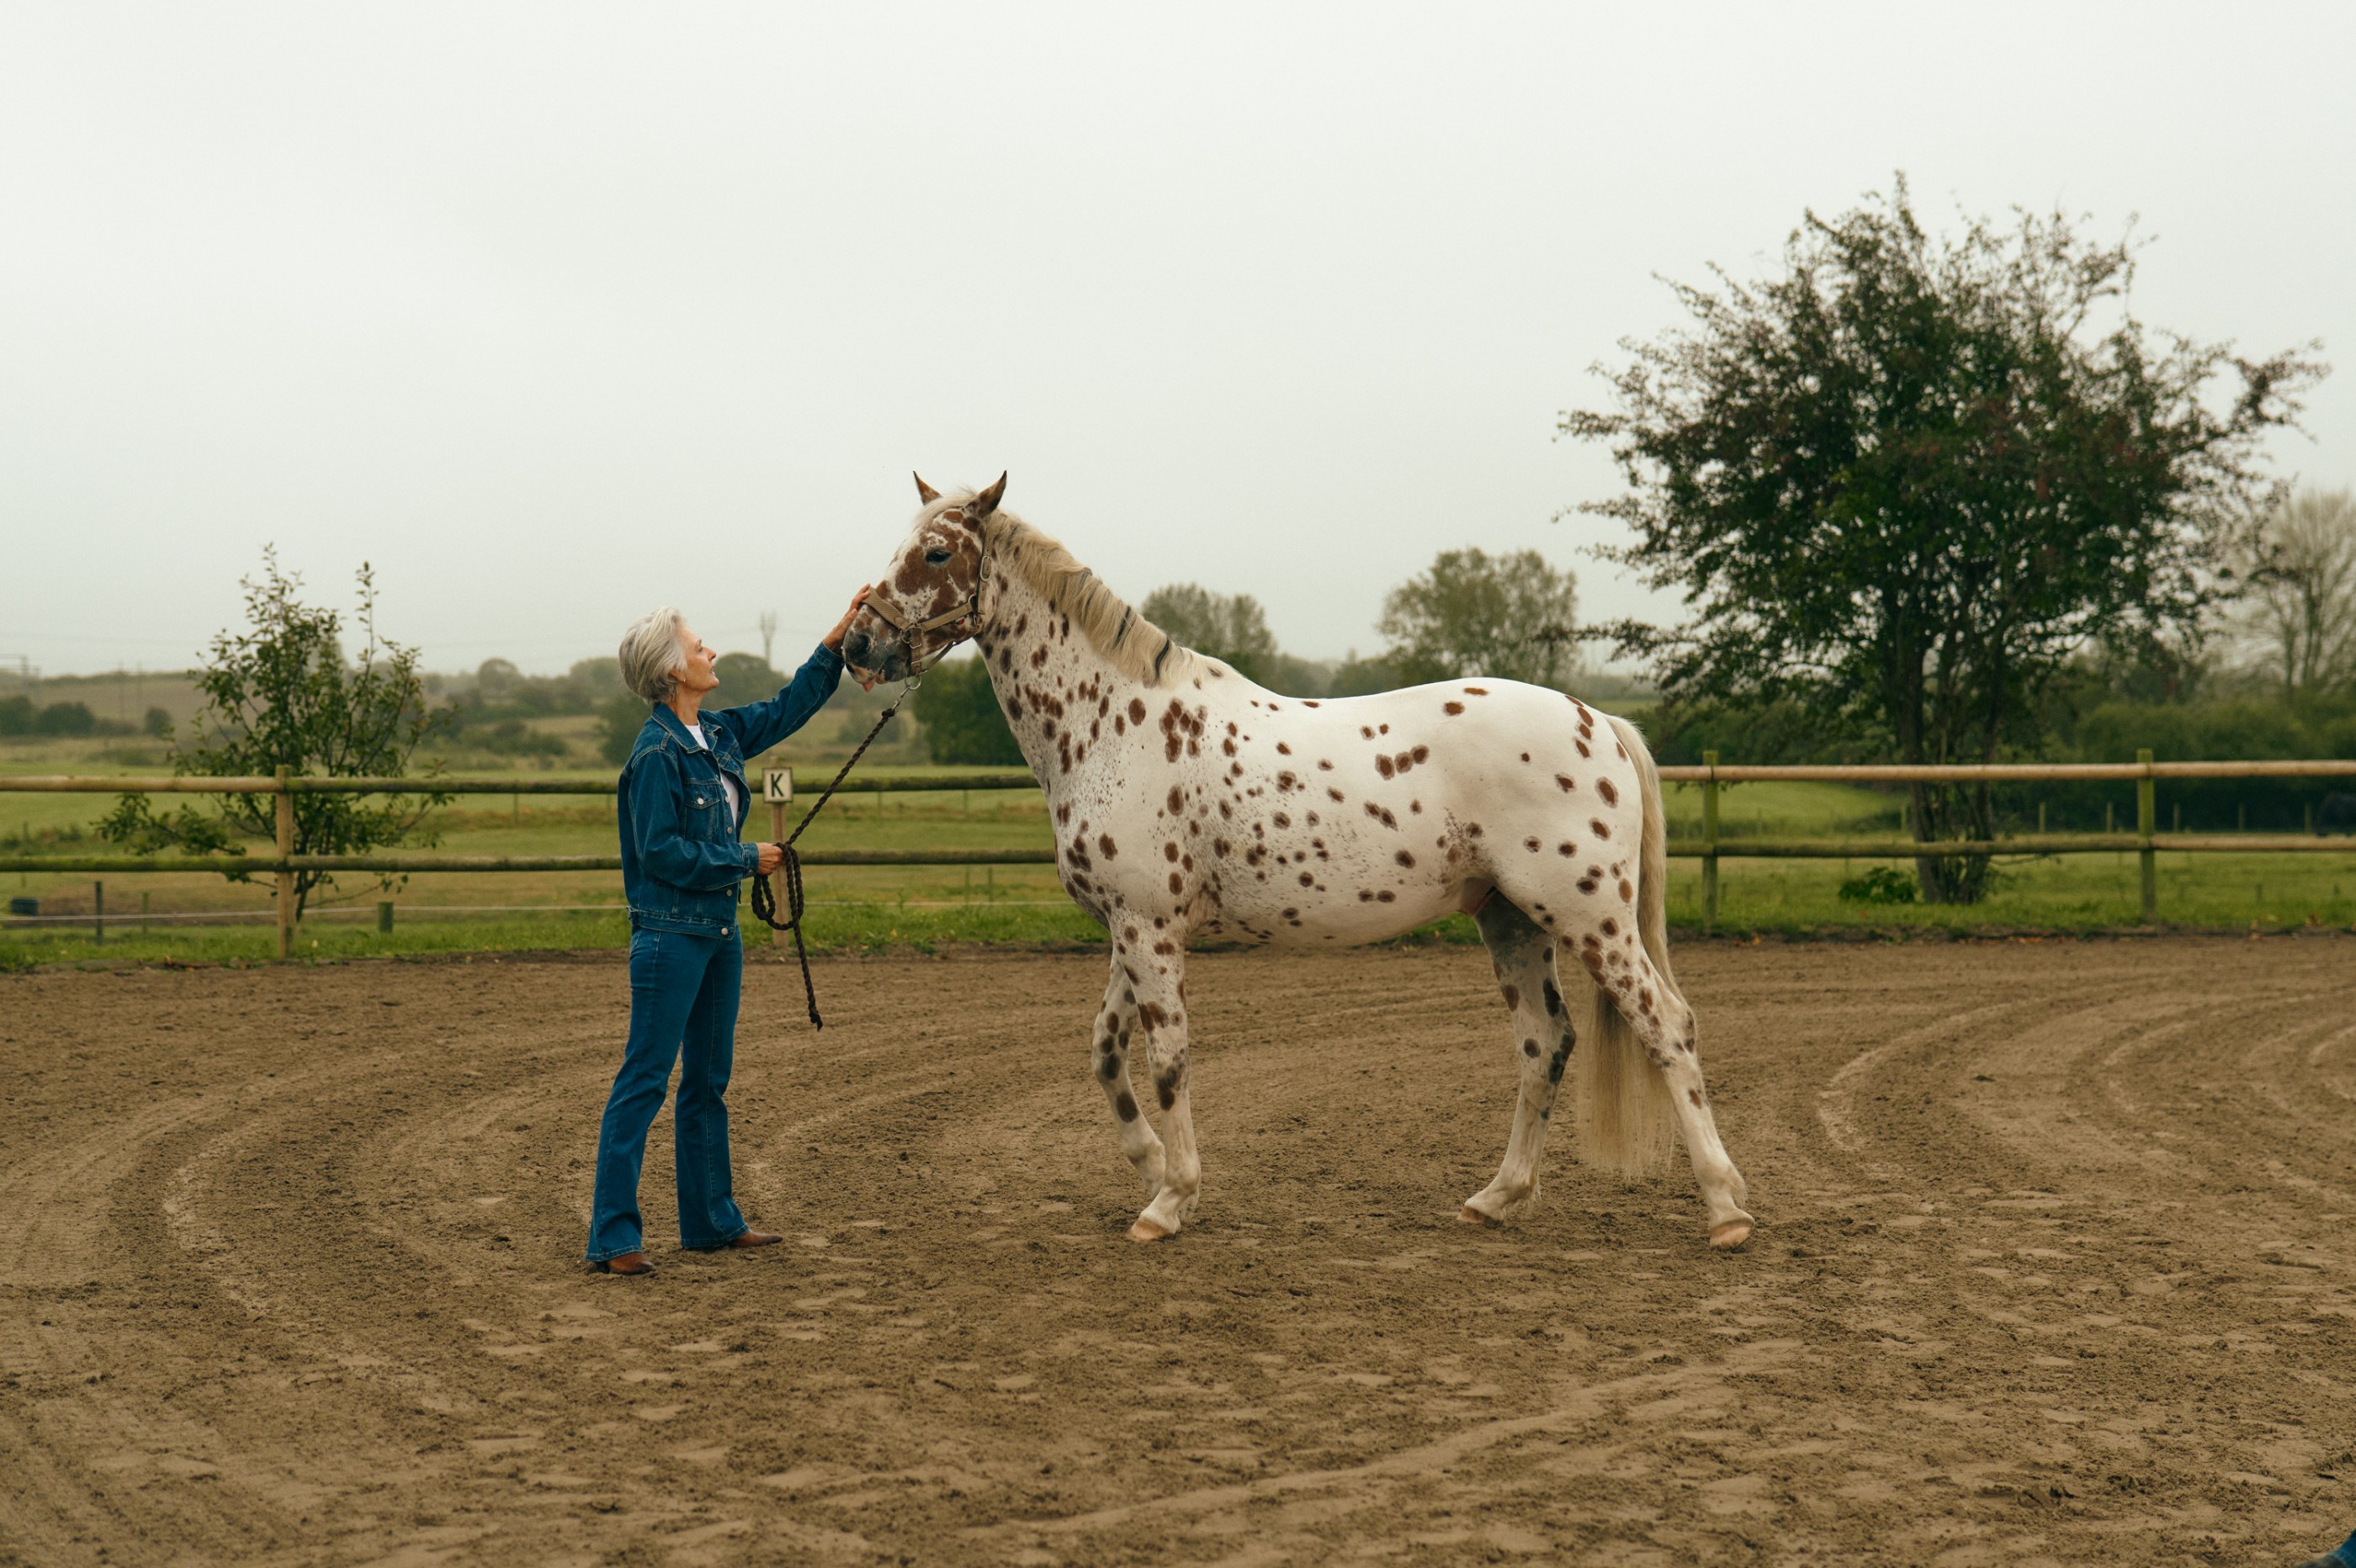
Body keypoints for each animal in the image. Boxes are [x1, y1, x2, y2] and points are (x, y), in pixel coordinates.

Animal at [841, 474, 1754, 1250]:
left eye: (935, 553)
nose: (858, 645)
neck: (1116, 724)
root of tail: (1598, 719)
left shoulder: (1150, 930)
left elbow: (1167, 1060)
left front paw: (1171, 1202)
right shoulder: (1132, 930)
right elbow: (1105, 1052)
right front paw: (1153, 1168)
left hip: (1589, 917)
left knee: (1666, 1027)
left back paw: (1724, 1208)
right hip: (1511, 921)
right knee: (1544, 1043)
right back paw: (1496, 1197)